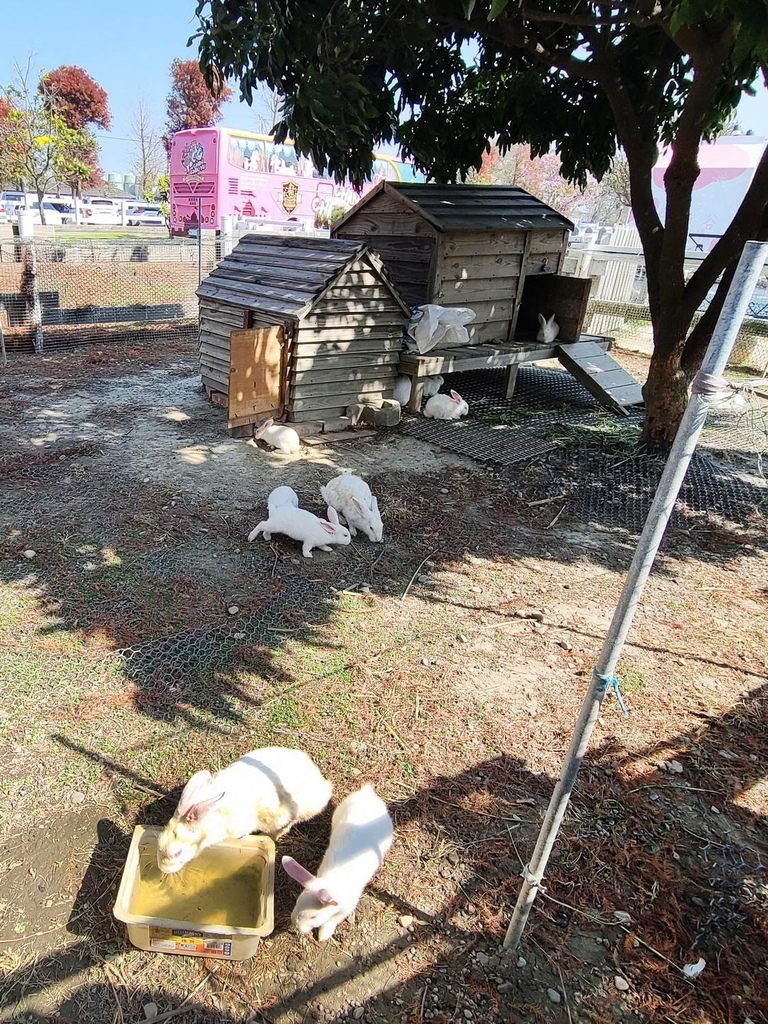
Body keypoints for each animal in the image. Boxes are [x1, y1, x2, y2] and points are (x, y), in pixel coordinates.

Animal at [282, 782, 393, 942]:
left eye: (314, 916)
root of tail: (368, 793)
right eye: (297, 901)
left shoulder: (344, 910)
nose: (295, 924)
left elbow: (331, 921)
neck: (331, 884)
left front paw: (323, 936)